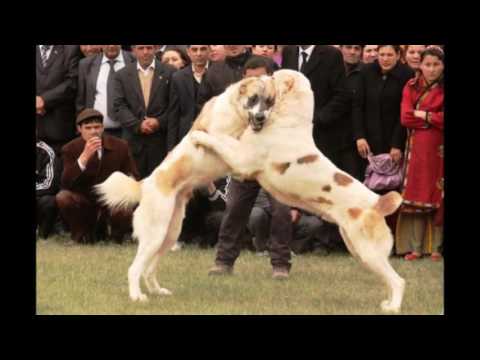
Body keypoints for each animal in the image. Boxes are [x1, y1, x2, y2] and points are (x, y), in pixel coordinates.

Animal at [95, 76, 276, 304]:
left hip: (169, 234)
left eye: (269, 101)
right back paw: (137, 296)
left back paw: (157, 291)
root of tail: (145, 184)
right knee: (134, 269)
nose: (261, 117)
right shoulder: (223, 137)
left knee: (148, 270)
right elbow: (222, 139)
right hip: (155, 235)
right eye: (253, 99)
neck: (235, 113)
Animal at [190, 69, 404, 314]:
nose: (265, 75)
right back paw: (387, 303)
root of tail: (378, 202)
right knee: (387, 279)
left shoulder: (243, 160)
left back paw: (393, 307)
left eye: (274, 77)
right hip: (358, 249)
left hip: (368, 250)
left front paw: (199, 136)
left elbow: (220, 140)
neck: (288, 118)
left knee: (398, 280)